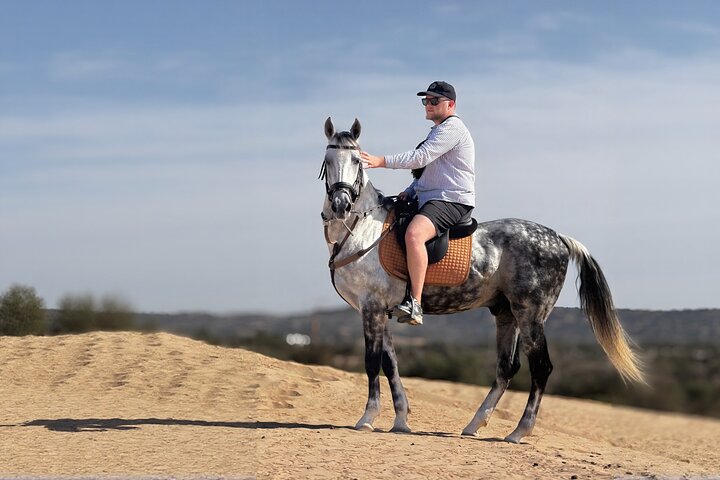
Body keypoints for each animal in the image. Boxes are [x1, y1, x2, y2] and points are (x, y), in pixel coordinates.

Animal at [319, 117, 645, 443]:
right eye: (328, 160)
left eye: (357, 161)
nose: (341, 205)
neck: (362, 230)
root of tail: (560, 239)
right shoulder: (379, 310)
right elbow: (390, 364)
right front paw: (400, 420)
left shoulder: (371, 307)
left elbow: (372, 361)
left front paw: (367, 418)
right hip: (507, 314)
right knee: (507, 368)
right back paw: (474, 424)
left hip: (531, 314)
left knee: (540, 367)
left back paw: (518, 431)